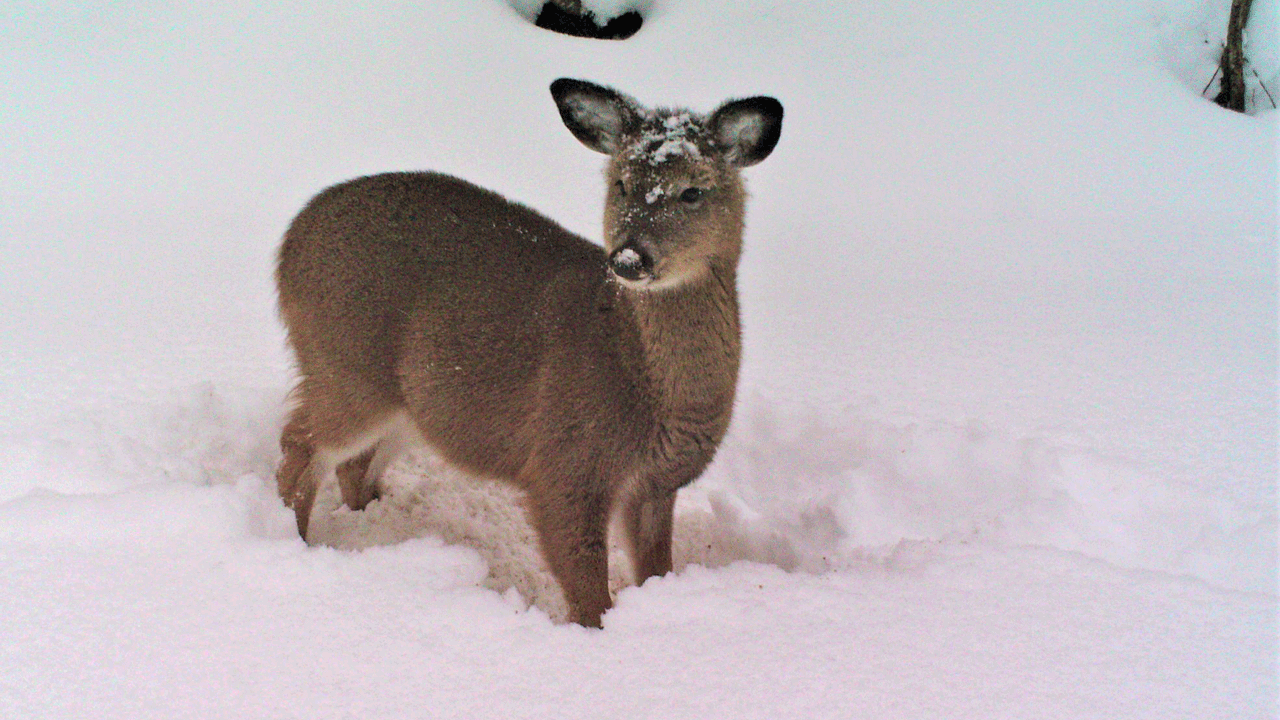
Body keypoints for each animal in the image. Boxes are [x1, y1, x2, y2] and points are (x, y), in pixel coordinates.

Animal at [276, 78, 783, 625]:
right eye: (621, 183)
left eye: (693, 191)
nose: (629, 257)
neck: (640, 375)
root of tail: (288, 245)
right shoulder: (566, 462)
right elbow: (587, 591)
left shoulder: (656, 484)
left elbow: (655, 568)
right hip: (345, 366)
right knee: (299, 449)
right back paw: (291, 544)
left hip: (411, 406)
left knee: (351, 464)